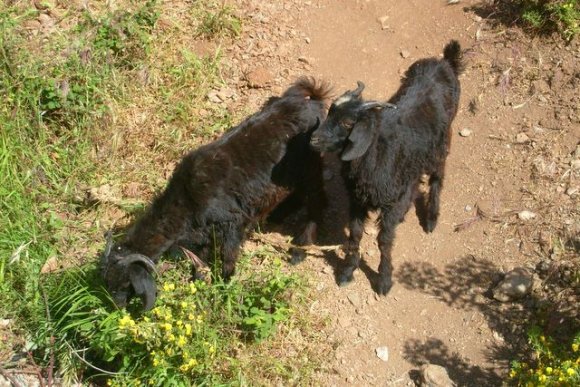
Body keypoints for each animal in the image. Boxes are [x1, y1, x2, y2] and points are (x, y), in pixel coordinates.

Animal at [101, 77, 330, 310]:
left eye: (126, 283)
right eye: (108, 281)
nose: (116, 307)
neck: (186, 198)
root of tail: (314, 102)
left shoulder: (232, 226)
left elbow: (227, 258)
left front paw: (225, 284)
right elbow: (201, 259)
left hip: (314, 171)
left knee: (315, 206)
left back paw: (299, 251)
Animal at [310, 41, 464, 296]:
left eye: (348, 123)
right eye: (330, 112)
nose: (313, 139)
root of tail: (445, 61)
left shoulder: (390, 202)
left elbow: (384, 240)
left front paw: (384, 280)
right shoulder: (358, 200)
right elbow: (355, 234)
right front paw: (347, 271)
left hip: (442, 144)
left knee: (437, 178)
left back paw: (431, 218)